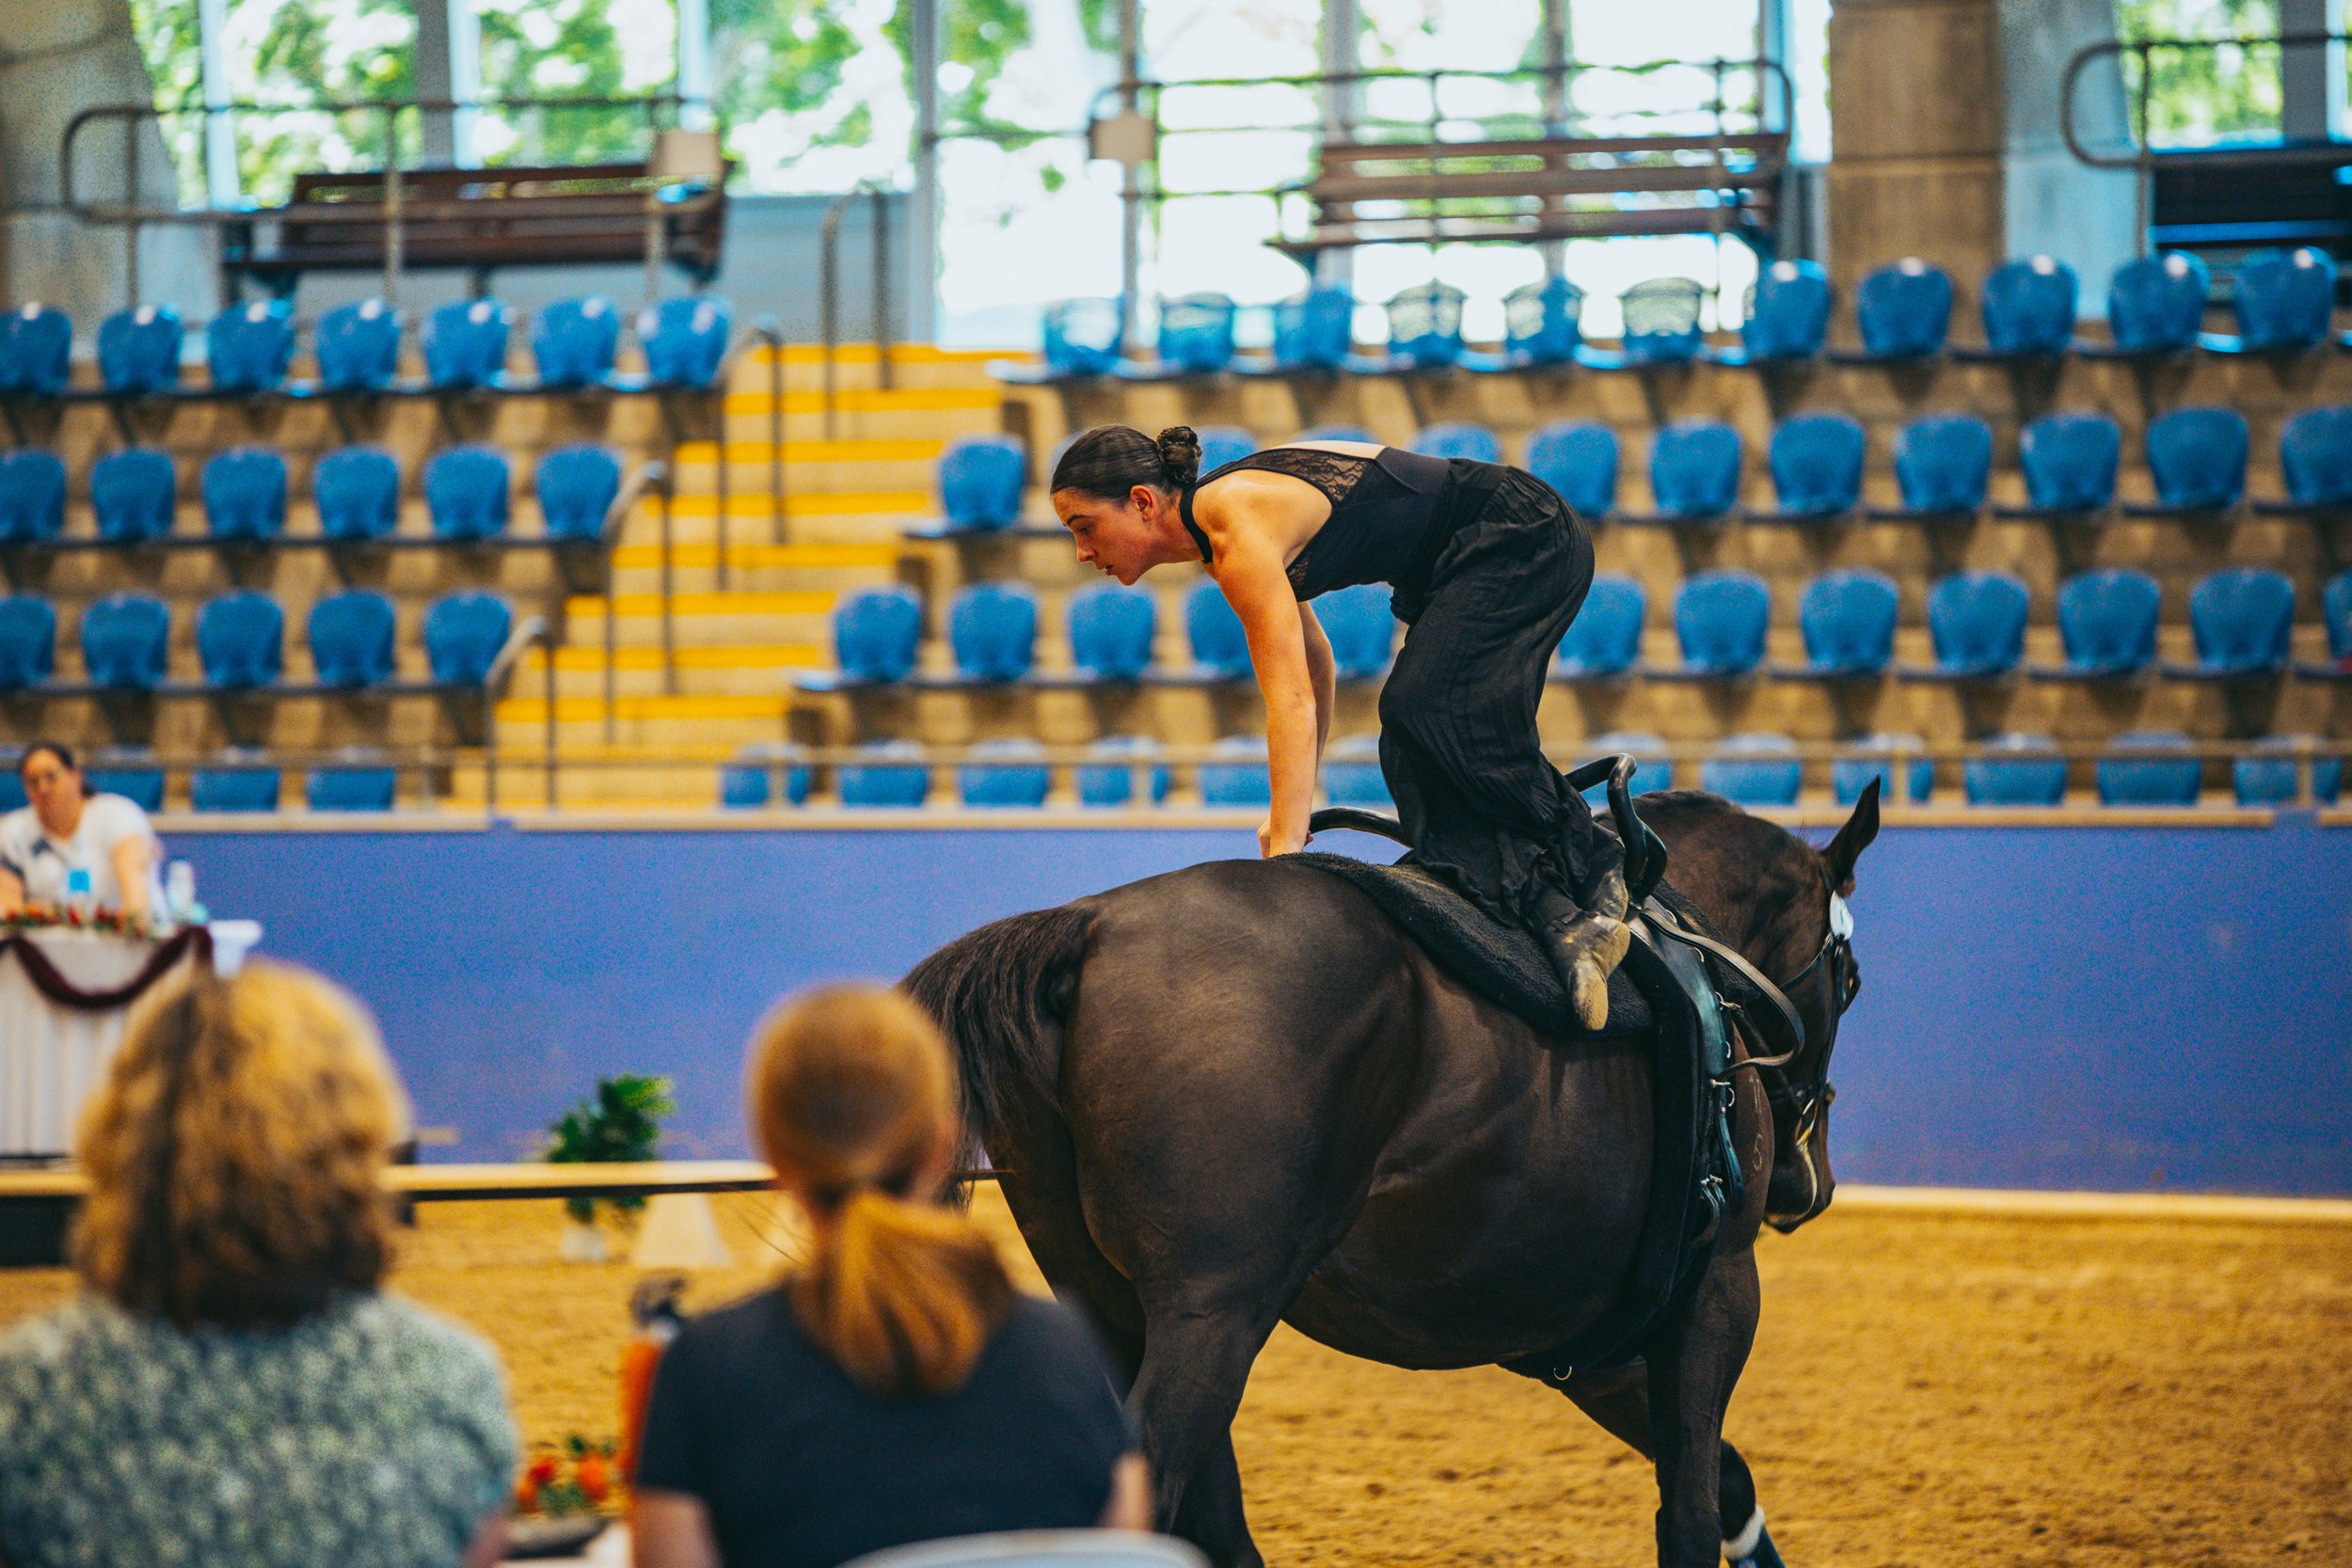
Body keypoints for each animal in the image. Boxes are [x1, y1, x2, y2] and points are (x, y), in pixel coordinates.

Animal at [905, 782, 1880, 1568]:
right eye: (1851, 977)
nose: (1809, 1183)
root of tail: (1090, 927)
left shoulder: (1595, 1348)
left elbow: (1726, 1480)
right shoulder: (1716, 1292)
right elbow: (1689, 1511)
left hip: (1117, 1305)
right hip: (1211, 1315)